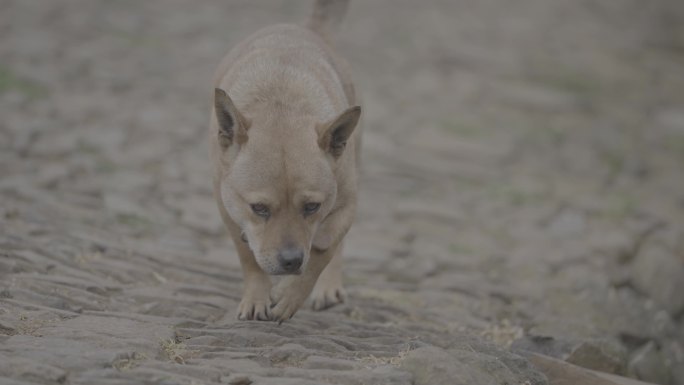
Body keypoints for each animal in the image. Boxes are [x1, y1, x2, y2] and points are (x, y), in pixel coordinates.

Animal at [210, 0, 360, 322]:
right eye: (259, 208)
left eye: (312, 207)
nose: (291, 261)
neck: (281, 104)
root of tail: (308, 27)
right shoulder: (229, 208)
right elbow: (249, 257)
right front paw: (256, 298)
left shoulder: (345, 207)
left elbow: (322, 253)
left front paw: (290, 297)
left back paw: (328, 288)